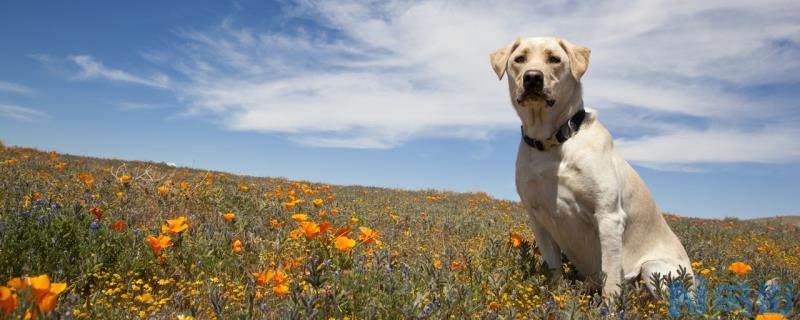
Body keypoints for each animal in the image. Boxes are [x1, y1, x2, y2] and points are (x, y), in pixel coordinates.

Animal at [490, 36, 692, 296]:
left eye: (554, 59)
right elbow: (555, 271)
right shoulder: (538, 219)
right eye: (519, 59)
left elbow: (611, 283)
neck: (552, 142)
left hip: (654, 268)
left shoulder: (608, 217)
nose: (533, 77)